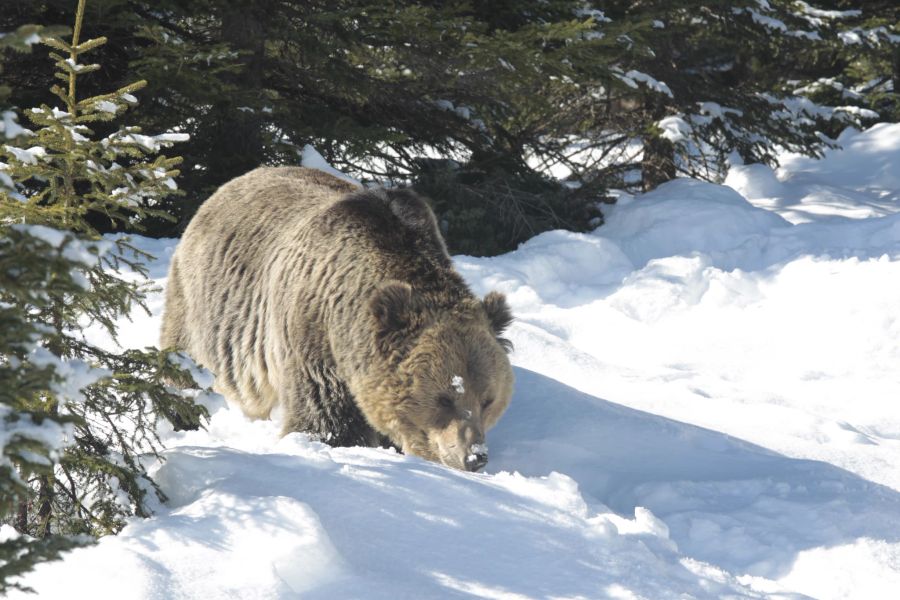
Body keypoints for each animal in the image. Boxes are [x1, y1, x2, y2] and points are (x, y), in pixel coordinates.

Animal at [160, 166, 512, 472]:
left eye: (488, 399)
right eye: (443, 398)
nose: (474, 456)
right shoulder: (314, 341)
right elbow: (328, 423)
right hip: (204, 310)